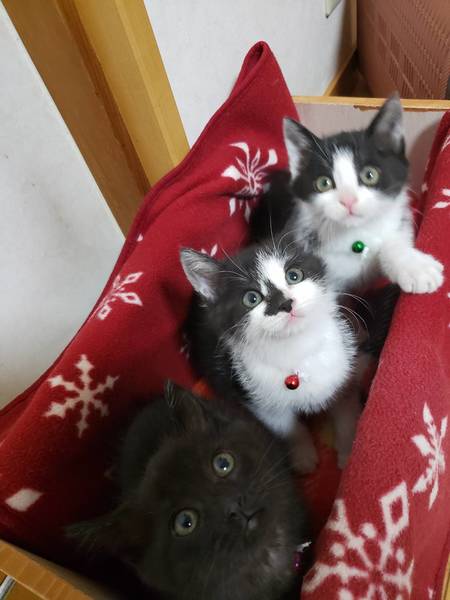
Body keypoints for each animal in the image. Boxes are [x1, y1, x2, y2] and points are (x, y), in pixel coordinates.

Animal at [180, 240, 358, 472]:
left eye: (294, 276)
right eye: (251, 298)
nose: (285, 303)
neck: (295, 349)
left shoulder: (343, 367)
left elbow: (345, 409)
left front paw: (348, 450)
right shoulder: (257, 397)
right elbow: (286, 426)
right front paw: (303, 455)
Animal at [251, 94, 444, 294]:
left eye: (369, 175)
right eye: (324, 183)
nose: (348, 201)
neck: (357, 236)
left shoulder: (400, 223)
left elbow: (393, 238)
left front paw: (414, 266)